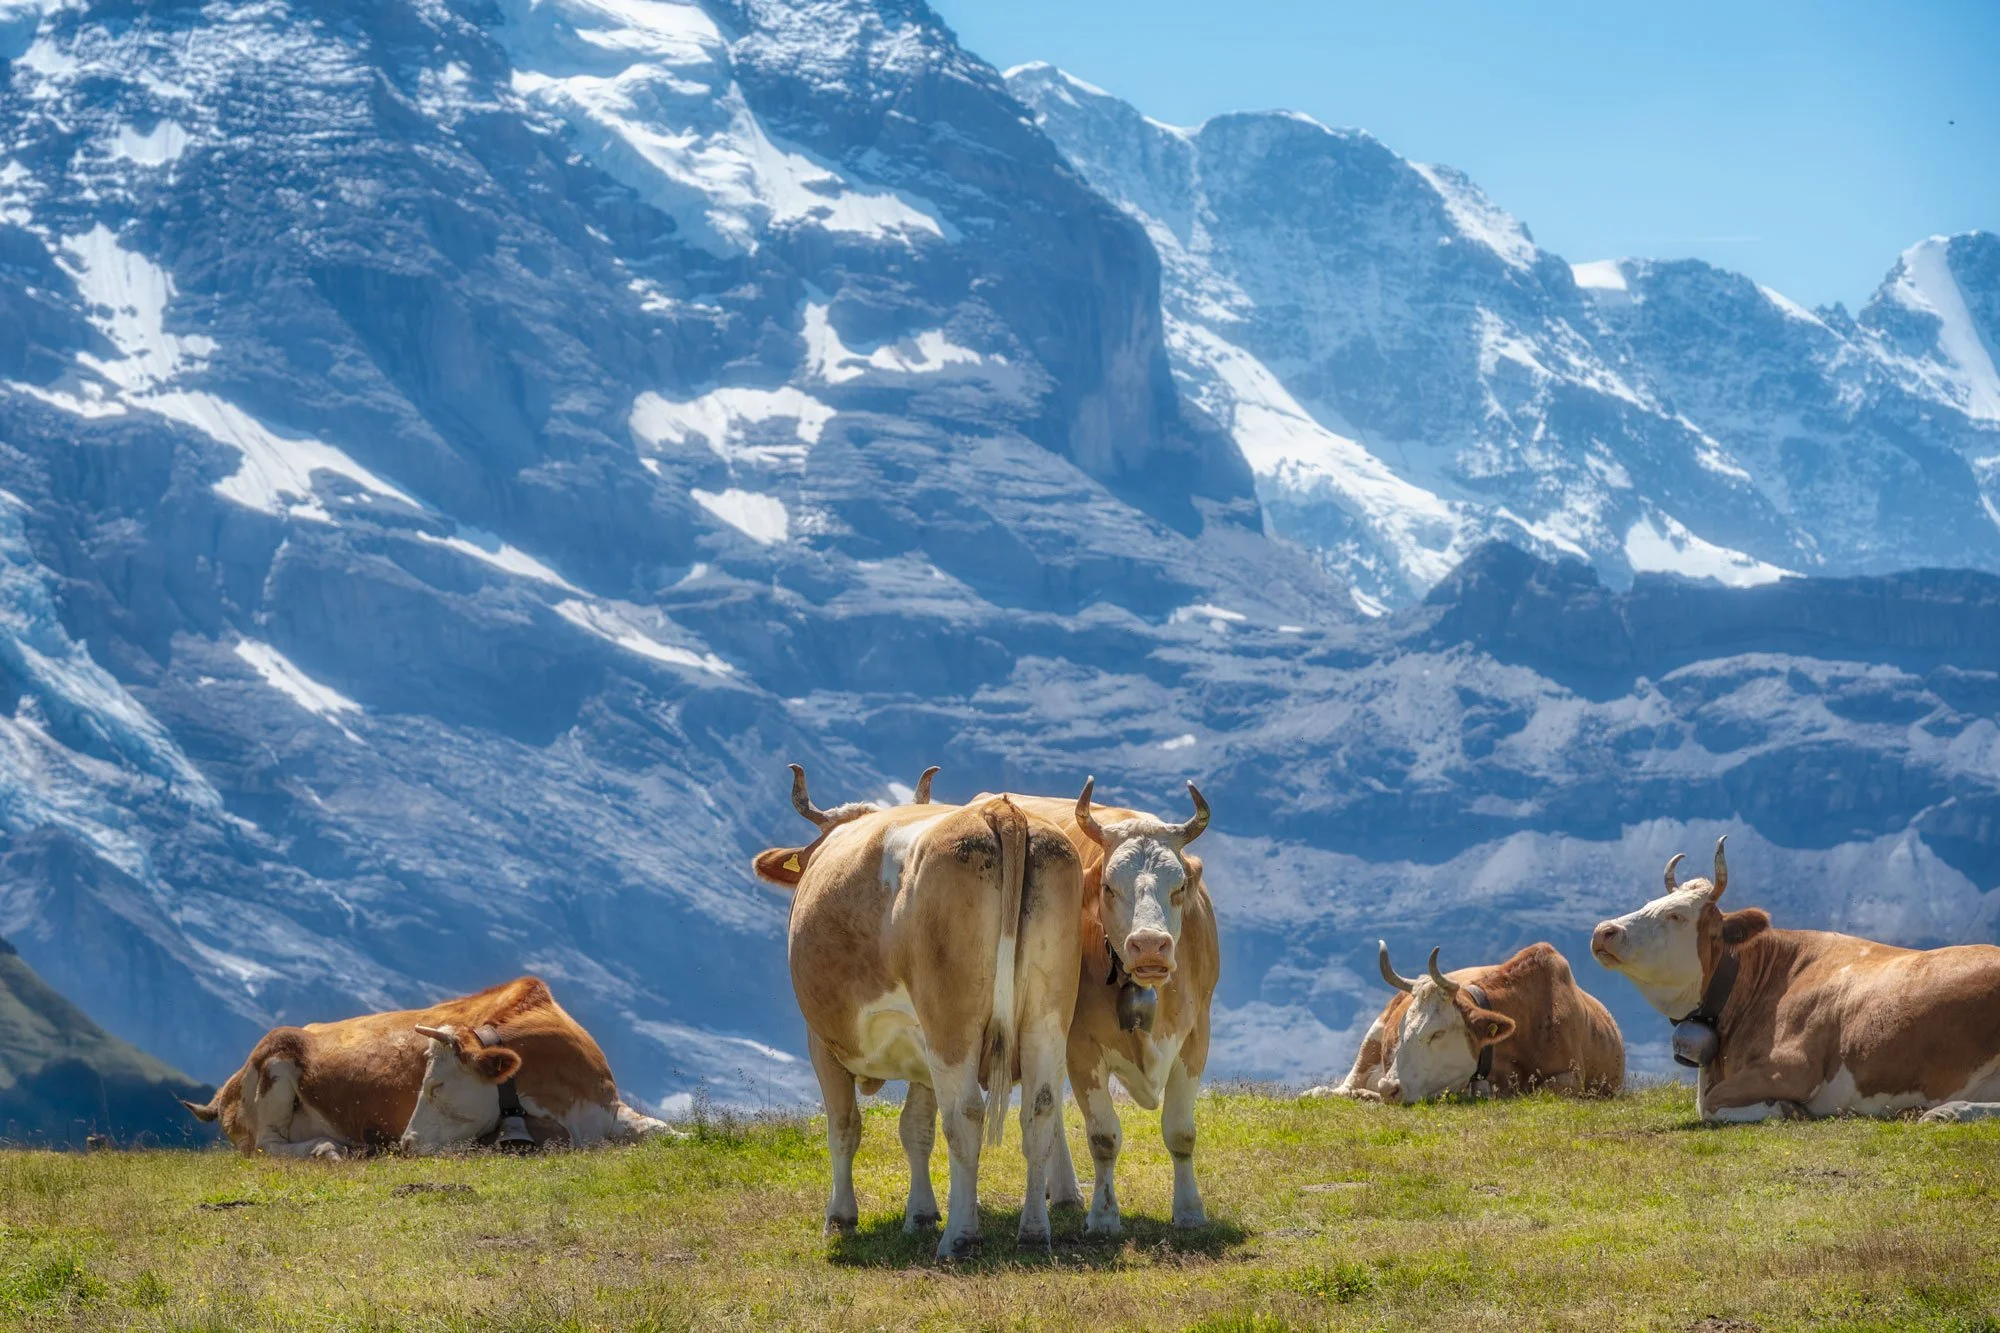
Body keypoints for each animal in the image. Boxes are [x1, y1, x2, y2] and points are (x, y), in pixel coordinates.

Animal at [180, 976, 672, 1156]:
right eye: (420, 1083)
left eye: (434, 1087)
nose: (405, 1142)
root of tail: (222, 1093)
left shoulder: (609, 1109)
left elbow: (665, 1132)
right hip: (274, 1064)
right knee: (267, 1147)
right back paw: (329, 1149)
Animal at [752, 766, 1082, 1258]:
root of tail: (999, 811)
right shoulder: (920, 1052)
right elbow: (915, 1130)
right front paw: (921, 1213)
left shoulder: (822, 1041)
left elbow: (844, 1127)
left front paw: (840, 1217)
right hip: (1046, 1015)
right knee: (1038, 1112)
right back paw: (1033, 1232)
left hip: (951, 1024)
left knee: (965, 1115)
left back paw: (960, 1237)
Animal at [983, 778, 1219, 1236]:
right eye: (1110, 887)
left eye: (1178, 887)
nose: (1150, 945)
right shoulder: (1082, 1046)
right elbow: (1103, 1136)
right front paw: (1104, 1216)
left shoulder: (1196, 1035)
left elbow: (1181, 1132)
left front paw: (1190, 1211)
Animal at [1591, 837, 2000, 1122]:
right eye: (1648, 905)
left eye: (1675, 915)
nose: (1603, 931)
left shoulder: (1792, 1067)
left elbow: (1710, 1104)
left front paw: (1788, 1110)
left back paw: (1948, 1111)